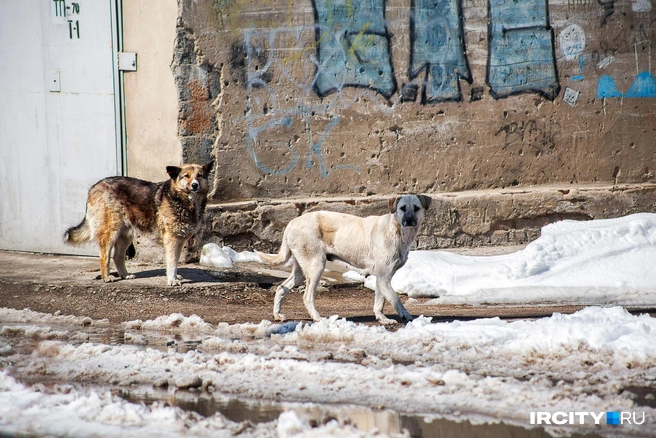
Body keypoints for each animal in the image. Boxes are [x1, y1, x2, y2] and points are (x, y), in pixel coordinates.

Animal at [64, 163, 214, 286]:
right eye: (186, 176)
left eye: (199, 175)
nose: (195, 185)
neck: (183, 200)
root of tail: (95, 186)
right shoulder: (171, 240)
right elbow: (172, 263)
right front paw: (172, 280)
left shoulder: (180, 241)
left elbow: (175, 263)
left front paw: (175, 277)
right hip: (111, 233)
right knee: (104, 256)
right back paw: (106, 277)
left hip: (126, 235)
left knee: (117, 256)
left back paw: (125, 275)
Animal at [258, 197, 434, 324]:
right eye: (402, 208)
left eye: (416, 208)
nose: (409, 220)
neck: (396, 230)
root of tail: (292, 223)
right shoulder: (384, 278)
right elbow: (395, 298)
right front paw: (405, 315)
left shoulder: (382, 278)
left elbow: (380, 302)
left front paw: (382, 319)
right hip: (316, 266)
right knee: (307, 297)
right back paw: (317, 318)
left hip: (301, 270)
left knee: (281, 288)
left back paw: (277, 315)